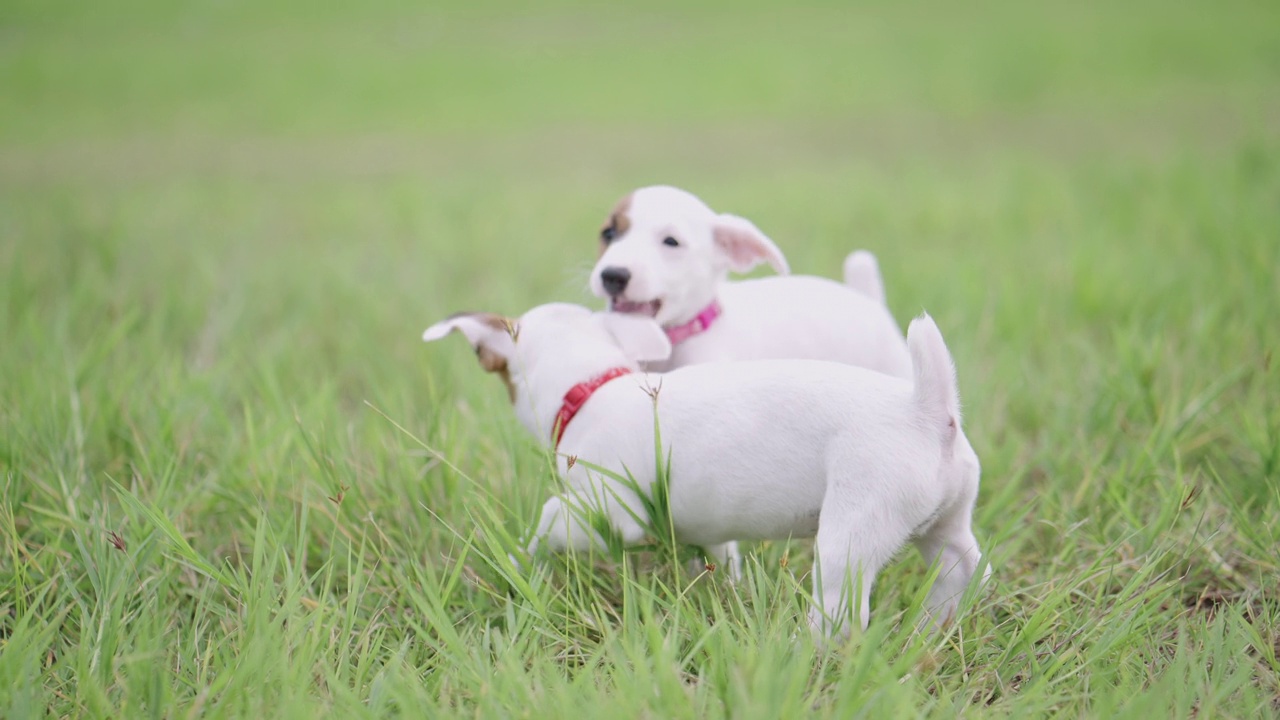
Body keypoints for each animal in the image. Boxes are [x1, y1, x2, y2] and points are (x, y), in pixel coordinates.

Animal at [424, 301, 983, 632]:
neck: (594, 384)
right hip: (945, 524)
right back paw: (933, 630)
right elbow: (718, 554)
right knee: (963, 567)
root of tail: (927, 408)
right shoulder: (710, 529)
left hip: (851, 537)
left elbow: (547, 520)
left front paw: (518, 562)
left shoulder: (607, 512)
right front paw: (725, 591)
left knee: (842, 610)